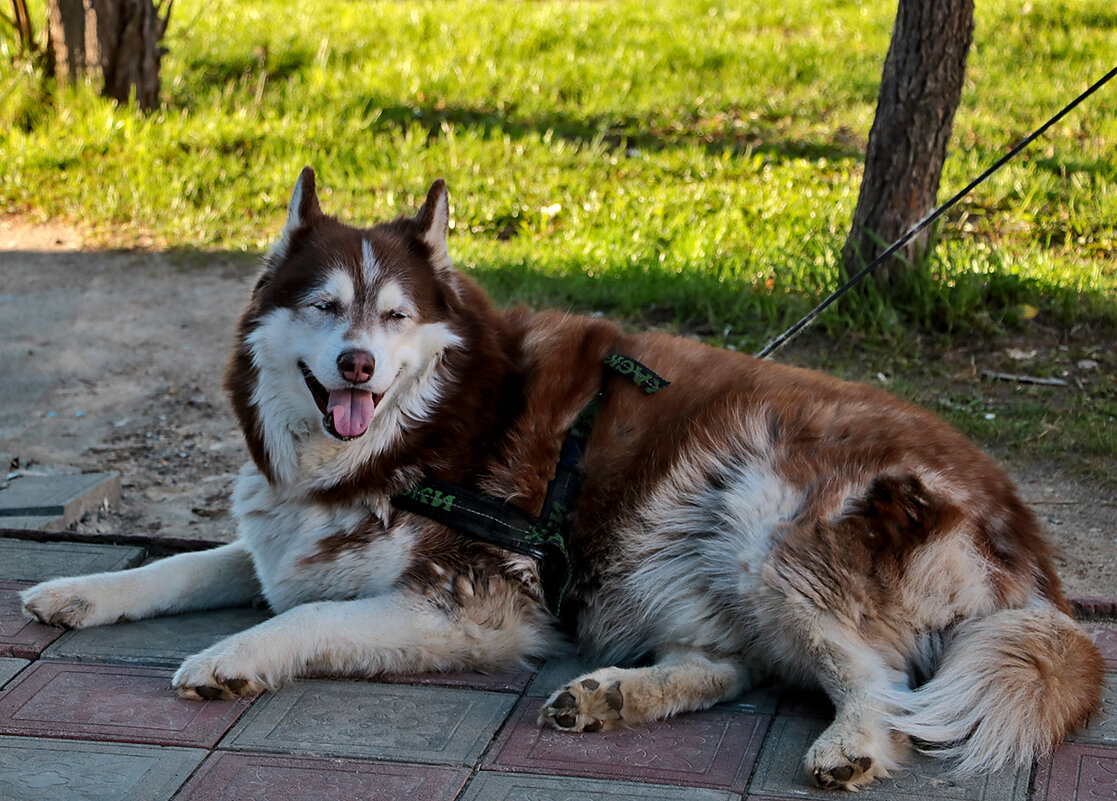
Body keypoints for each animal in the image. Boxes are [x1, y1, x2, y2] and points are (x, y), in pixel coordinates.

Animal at [21, 168, 1103, 786]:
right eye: (325, 306)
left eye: (396, 317)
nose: (358, 367)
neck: (419, 431)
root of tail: (1029, 547)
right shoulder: (291, 535)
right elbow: (188, 565)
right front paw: (77, 589)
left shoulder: (473, 603)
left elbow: (308, 616)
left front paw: (233, 656)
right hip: (667, 557)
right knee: (730, 664)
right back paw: (615, 697)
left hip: (758, 517)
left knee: (872, 678)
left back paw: (852, 746)